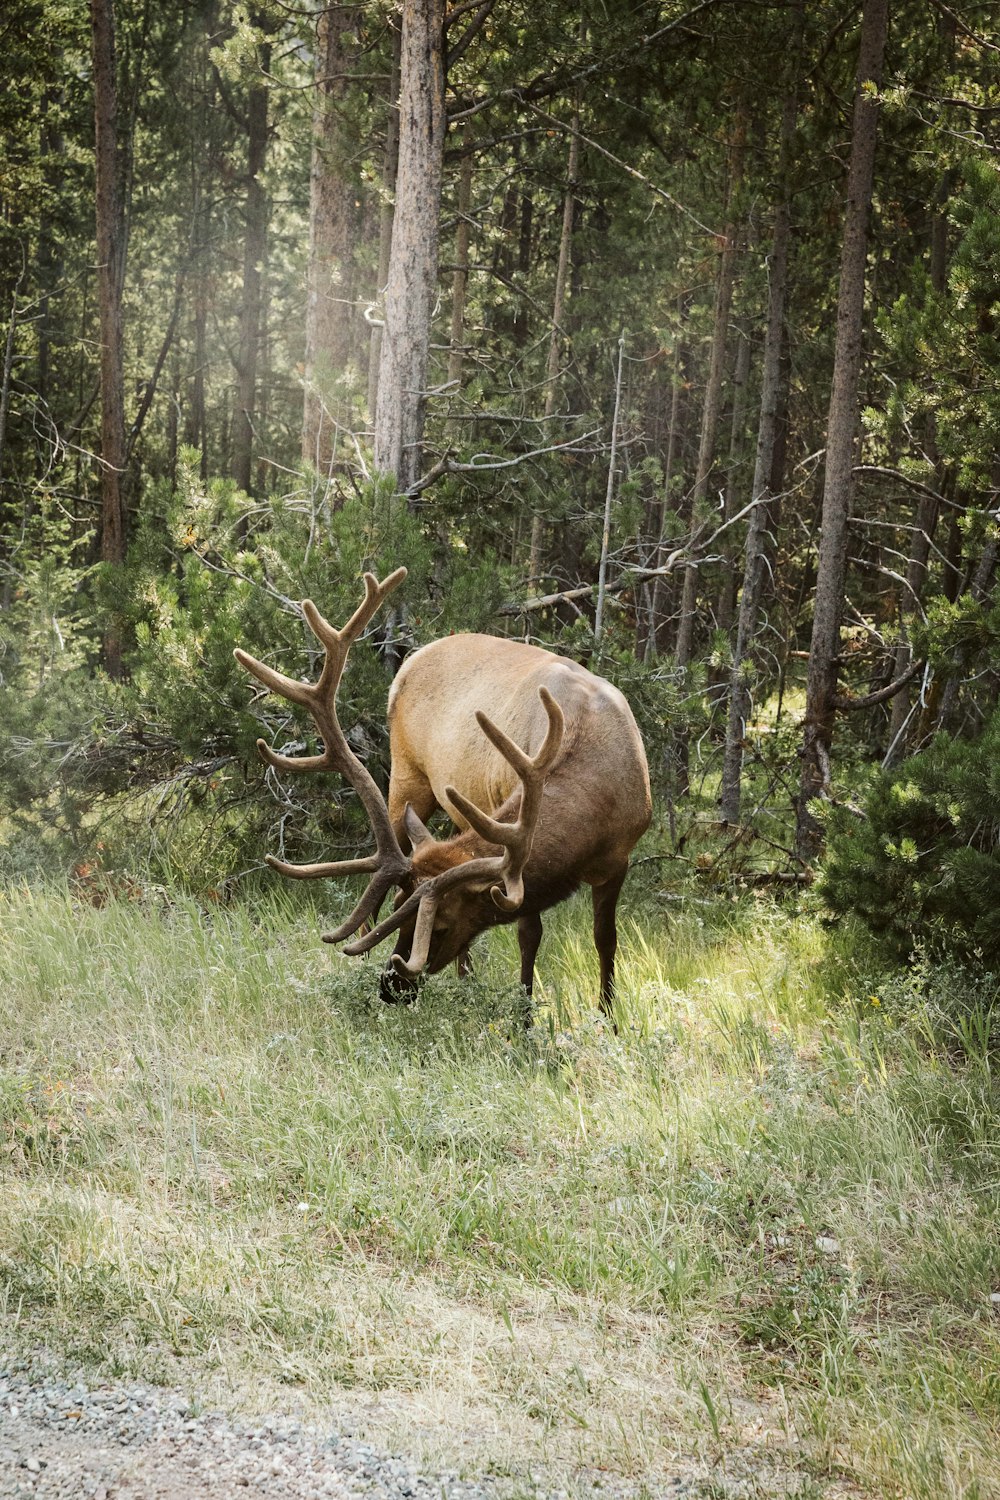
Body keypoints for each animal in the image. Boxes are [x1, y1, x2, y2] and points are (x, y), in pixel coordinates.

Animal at [236, 567, 656, 1014]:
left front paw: (608, 1015)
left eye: (440, 924)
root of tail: (413, 658)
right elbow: (530, 935)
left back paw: (464, 982)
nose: (391, 987)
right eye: (402, 910)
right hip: (407, 775)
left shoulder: (619, 859)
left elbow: (604, 940)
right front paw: (525, 1018)